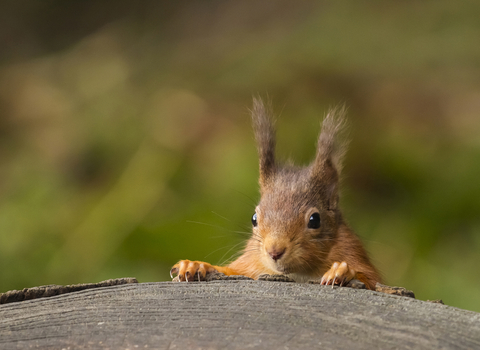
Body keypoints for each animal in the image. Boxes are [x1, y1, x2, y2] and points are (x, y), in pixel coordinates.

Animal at [171, 98, 380, 290]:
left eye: (315, 220)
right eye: (254, 218)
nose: (274, 251)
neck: (297, 273)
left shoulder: (351, 250)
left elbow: (369, 279)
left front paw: (341, 271)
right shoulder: (249, 263)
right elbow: (230, 270)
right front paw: (196, 265)